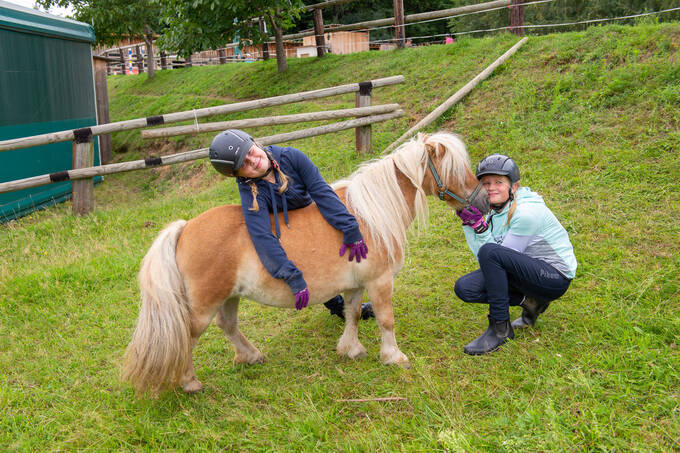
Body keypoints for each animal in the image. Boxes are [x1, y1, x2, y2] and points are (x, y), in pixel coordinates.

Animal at [122, 132, 488, 396]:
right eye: (455, 169)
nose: (484, 199)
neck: (369, 216)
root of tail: (185, 228)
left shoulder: (355, 285)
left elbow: (353, 314)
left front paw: (350, 349)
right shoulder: (380, 281)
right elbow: (386, 320)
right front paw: (393, 357)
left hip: (228, 296)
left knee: (228, 326)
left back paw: (251, 356)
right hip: (204, 305)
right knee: (188, 336)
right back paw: (190, 383)